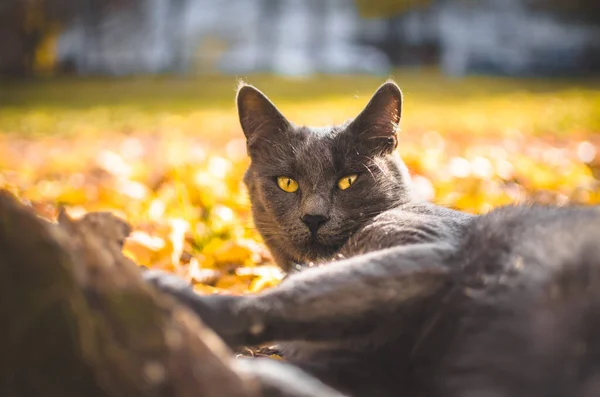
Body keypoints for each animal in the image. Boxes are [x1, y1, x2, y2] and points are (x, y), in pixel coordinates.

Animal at [144, 82, 600, 394]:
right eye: (287, 182)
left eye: (349, 180)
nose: (314, 216)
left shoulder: (429, 252)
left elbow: (278, 301)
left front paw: (168, 293)